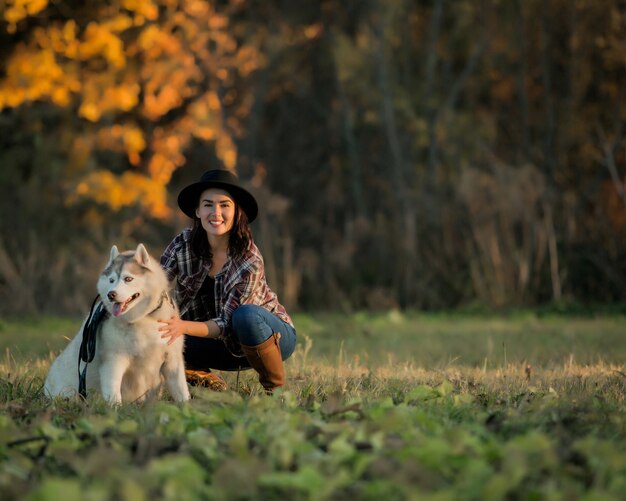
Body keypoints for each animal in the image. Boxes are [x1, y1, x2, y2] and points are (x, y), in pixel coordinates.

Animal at [45, 242, 189, 402]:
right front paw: (114, 407)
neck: (143, 318)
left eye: (128, 279)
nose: (111, 294)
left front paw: (187, 406)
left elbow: (182, 391)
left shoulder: (172, 360)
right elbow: (113, 392)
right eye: (111, 280)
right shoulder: (113, 361)